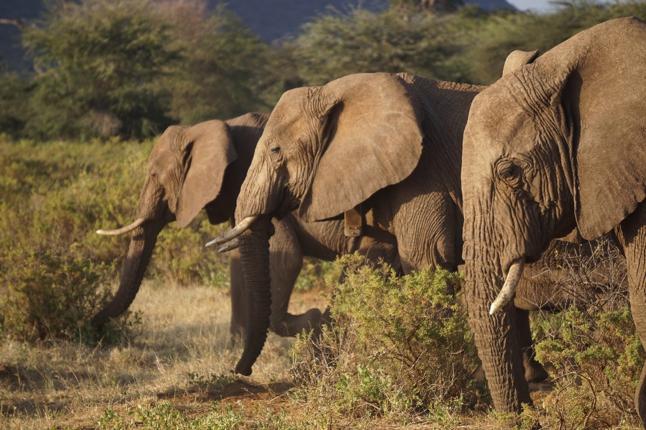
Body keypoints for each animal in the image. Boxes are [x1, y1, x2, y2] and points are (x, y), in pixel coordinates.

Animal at [208, 72, 580, 378]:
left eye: (275, 150)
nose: (241, 371)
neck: (334, 91)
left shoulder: (423, 176)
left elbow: (427, 260)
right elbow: (370, 264)